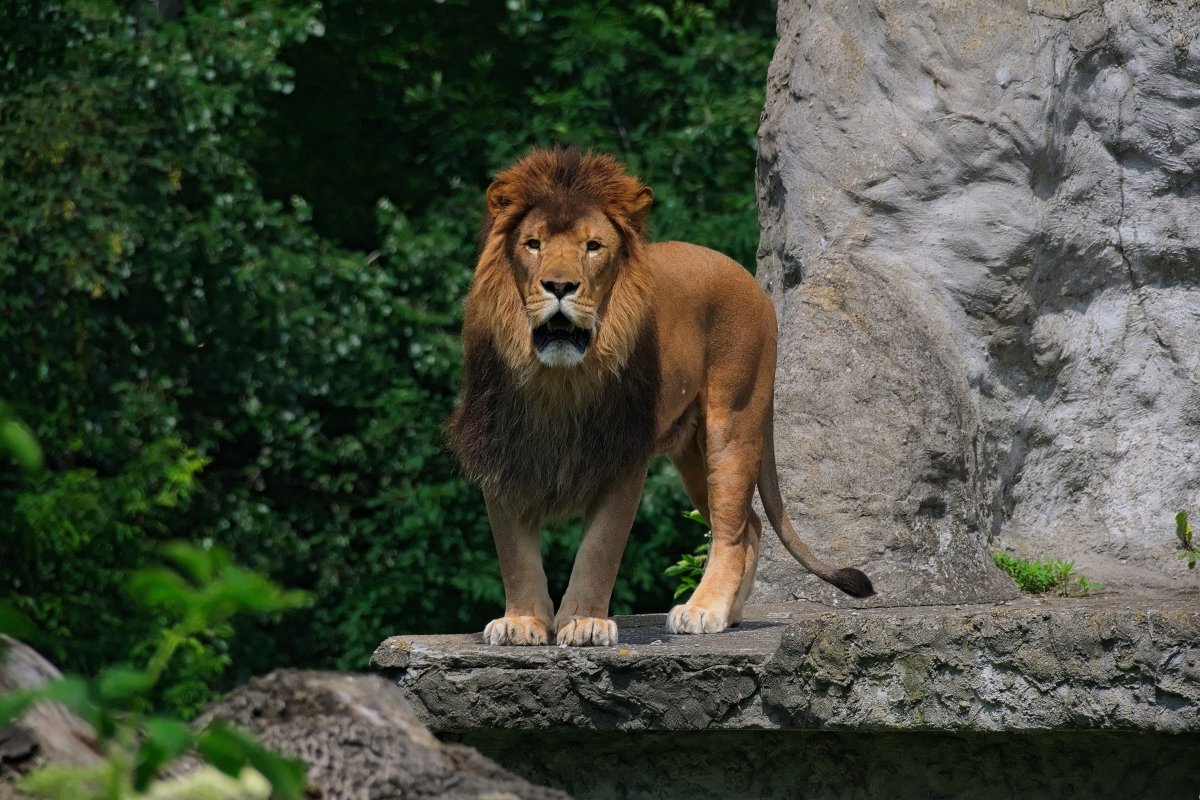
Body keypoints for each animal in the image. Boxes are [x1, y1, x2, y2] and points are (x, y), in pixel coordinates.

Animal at [446, 146, 878, 647]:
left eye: (593, 247)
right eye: (533, 244)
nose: (559, 286)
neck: (560, 381)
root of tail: (751, 281)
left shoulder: (623, 454)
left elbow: (601, 547)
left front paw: (585, 622)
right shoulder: (501, 450)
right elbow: (514, 553)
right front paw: (522, 621)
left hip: (733, 423)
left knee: (731, 528)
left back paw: (704, 610)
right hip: (692, 453)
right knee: (749, 523)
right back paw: (729, 612)